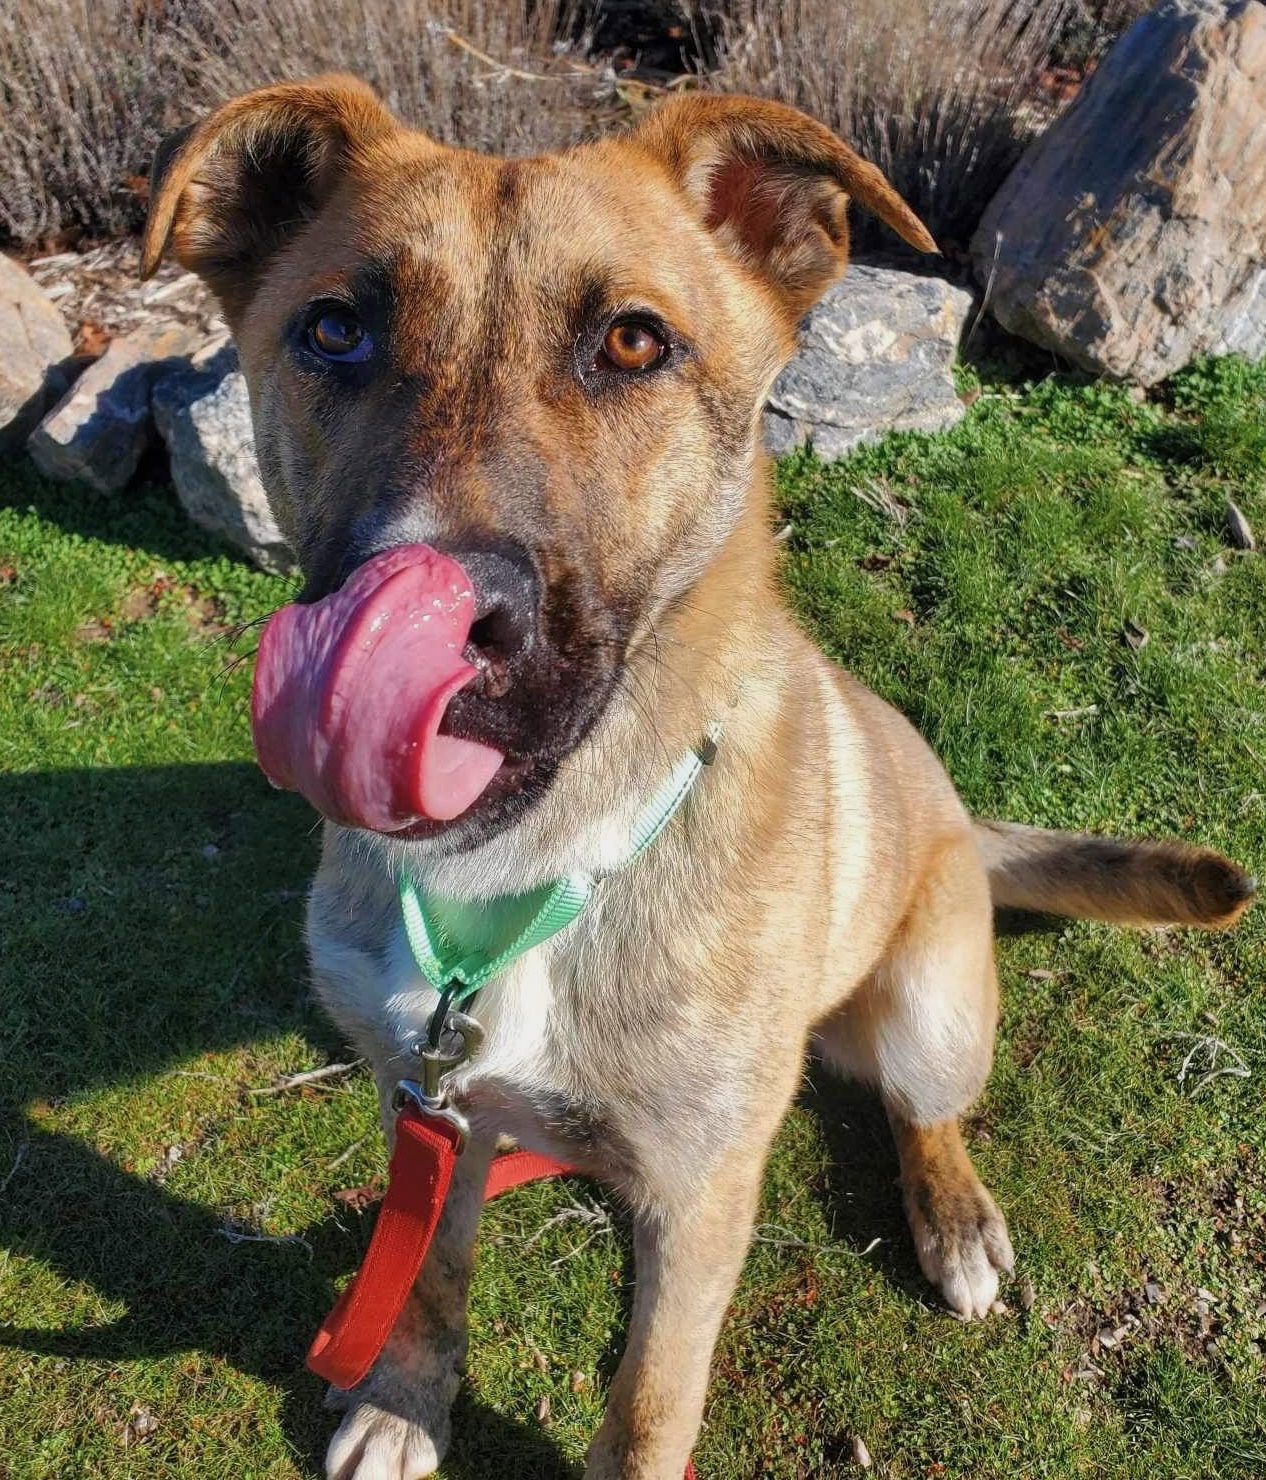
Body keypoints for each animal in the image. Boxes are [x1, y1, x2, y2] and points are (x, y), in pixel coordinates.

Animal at [141, 75, 1255, 1474]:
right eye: (336, 330)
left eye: (632, 342)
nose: (451, 616)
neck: (536, 874)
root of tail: (961, 810)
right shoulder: (435, 1106)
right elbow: (432, 1269)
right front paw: (402, 1394)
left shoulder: (703, 1188)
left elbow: (649, 1405)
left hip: (930, 1008)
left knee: (923, 1109)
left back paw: (953, 1216)